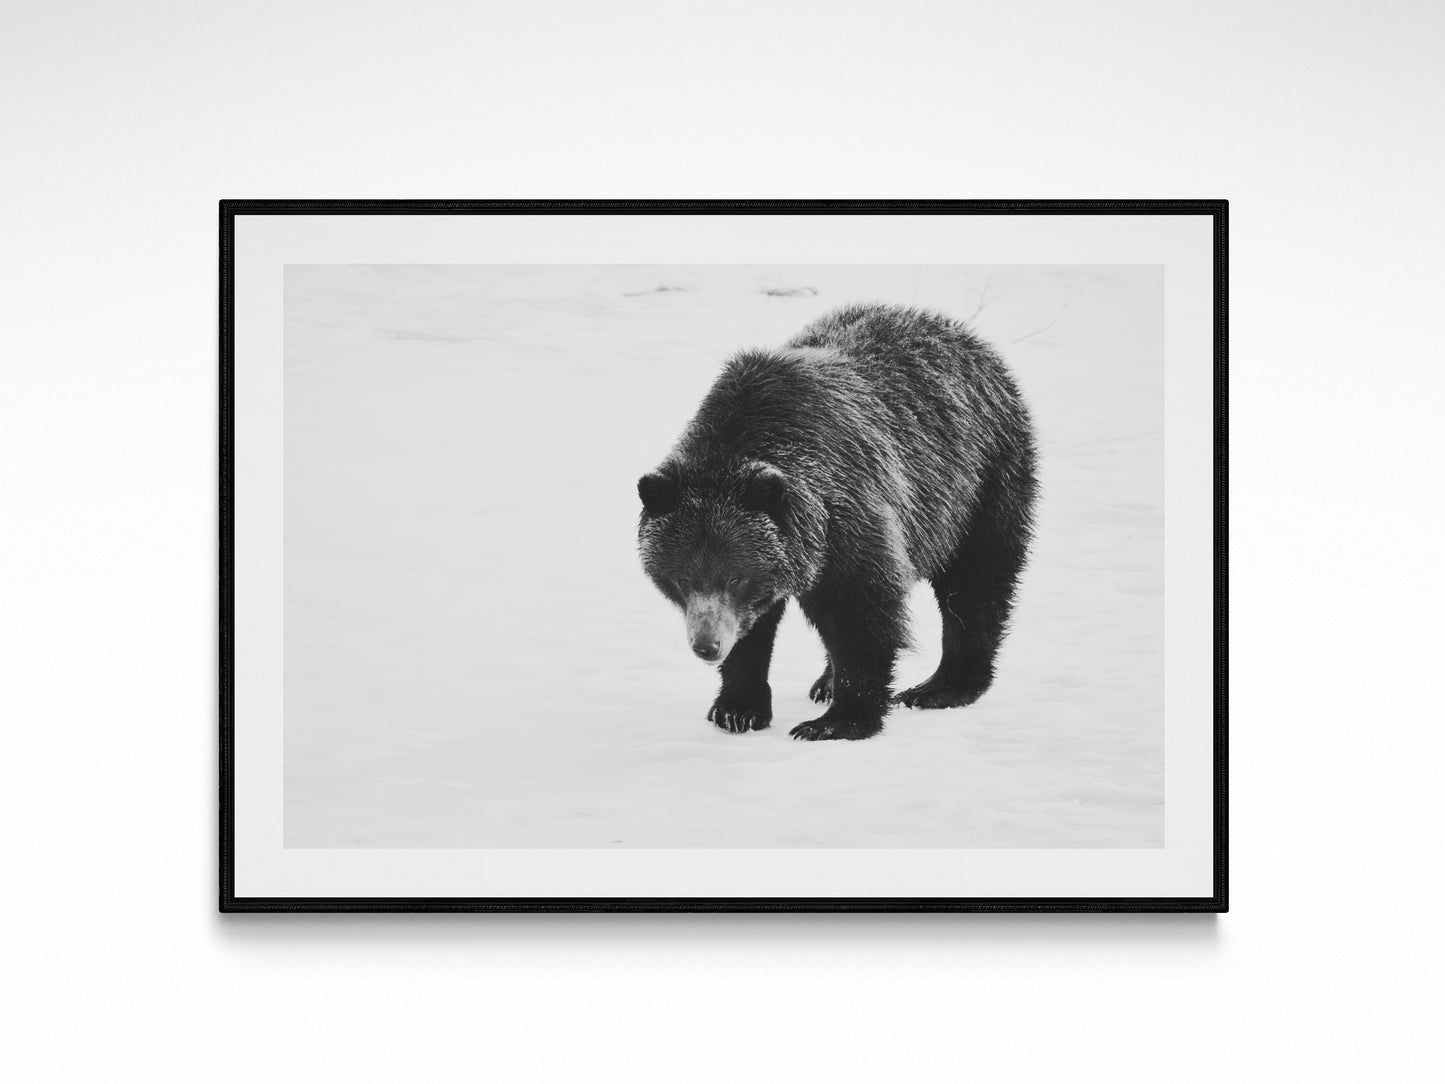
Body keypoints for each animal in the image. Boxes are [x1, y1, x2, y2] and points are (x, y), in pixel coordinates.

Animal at [637, 302, 1037, 741]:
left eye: (735, 577)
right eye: (681, 578)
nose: (706, 646)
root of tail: (964, 335)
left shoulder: (846, 516)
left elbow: (861, 614)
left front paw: (835, 721)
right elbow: (754, 629)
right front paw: (738, 708)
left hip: (978, 482)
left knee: (976, 582)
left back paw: (942, 685)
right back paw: (825, 682)